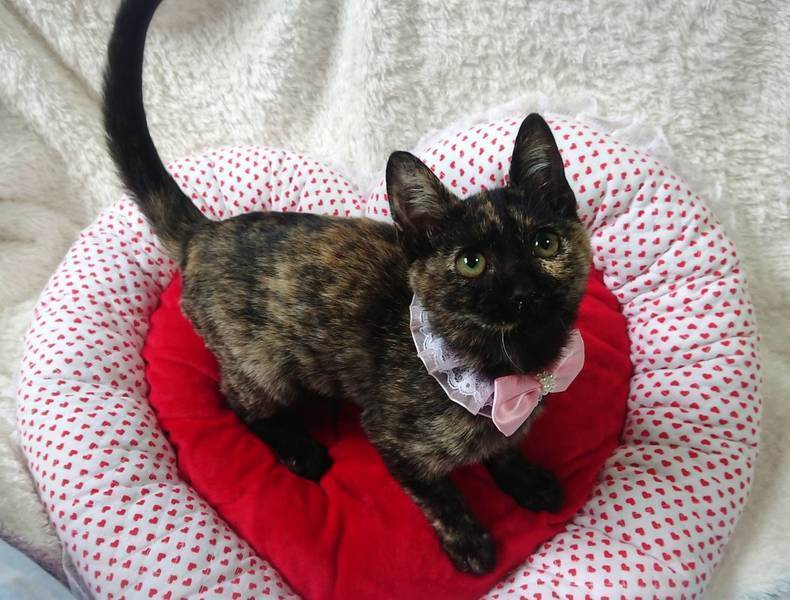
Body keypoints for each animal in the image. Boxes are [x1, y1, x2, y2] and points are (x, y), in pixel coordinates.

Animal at [103, 0, 591, 575]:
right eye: (471, 263)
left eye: (544, 243)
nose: (520, 291)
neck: (508, 371)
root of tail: (206, 232)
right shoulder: (391, 439)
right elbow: (441, 496)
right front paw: (469, 542)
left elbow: (504, 445)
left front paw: (526, 480)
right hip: (264, 367)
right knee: (236, 400)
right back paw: (300, 449)